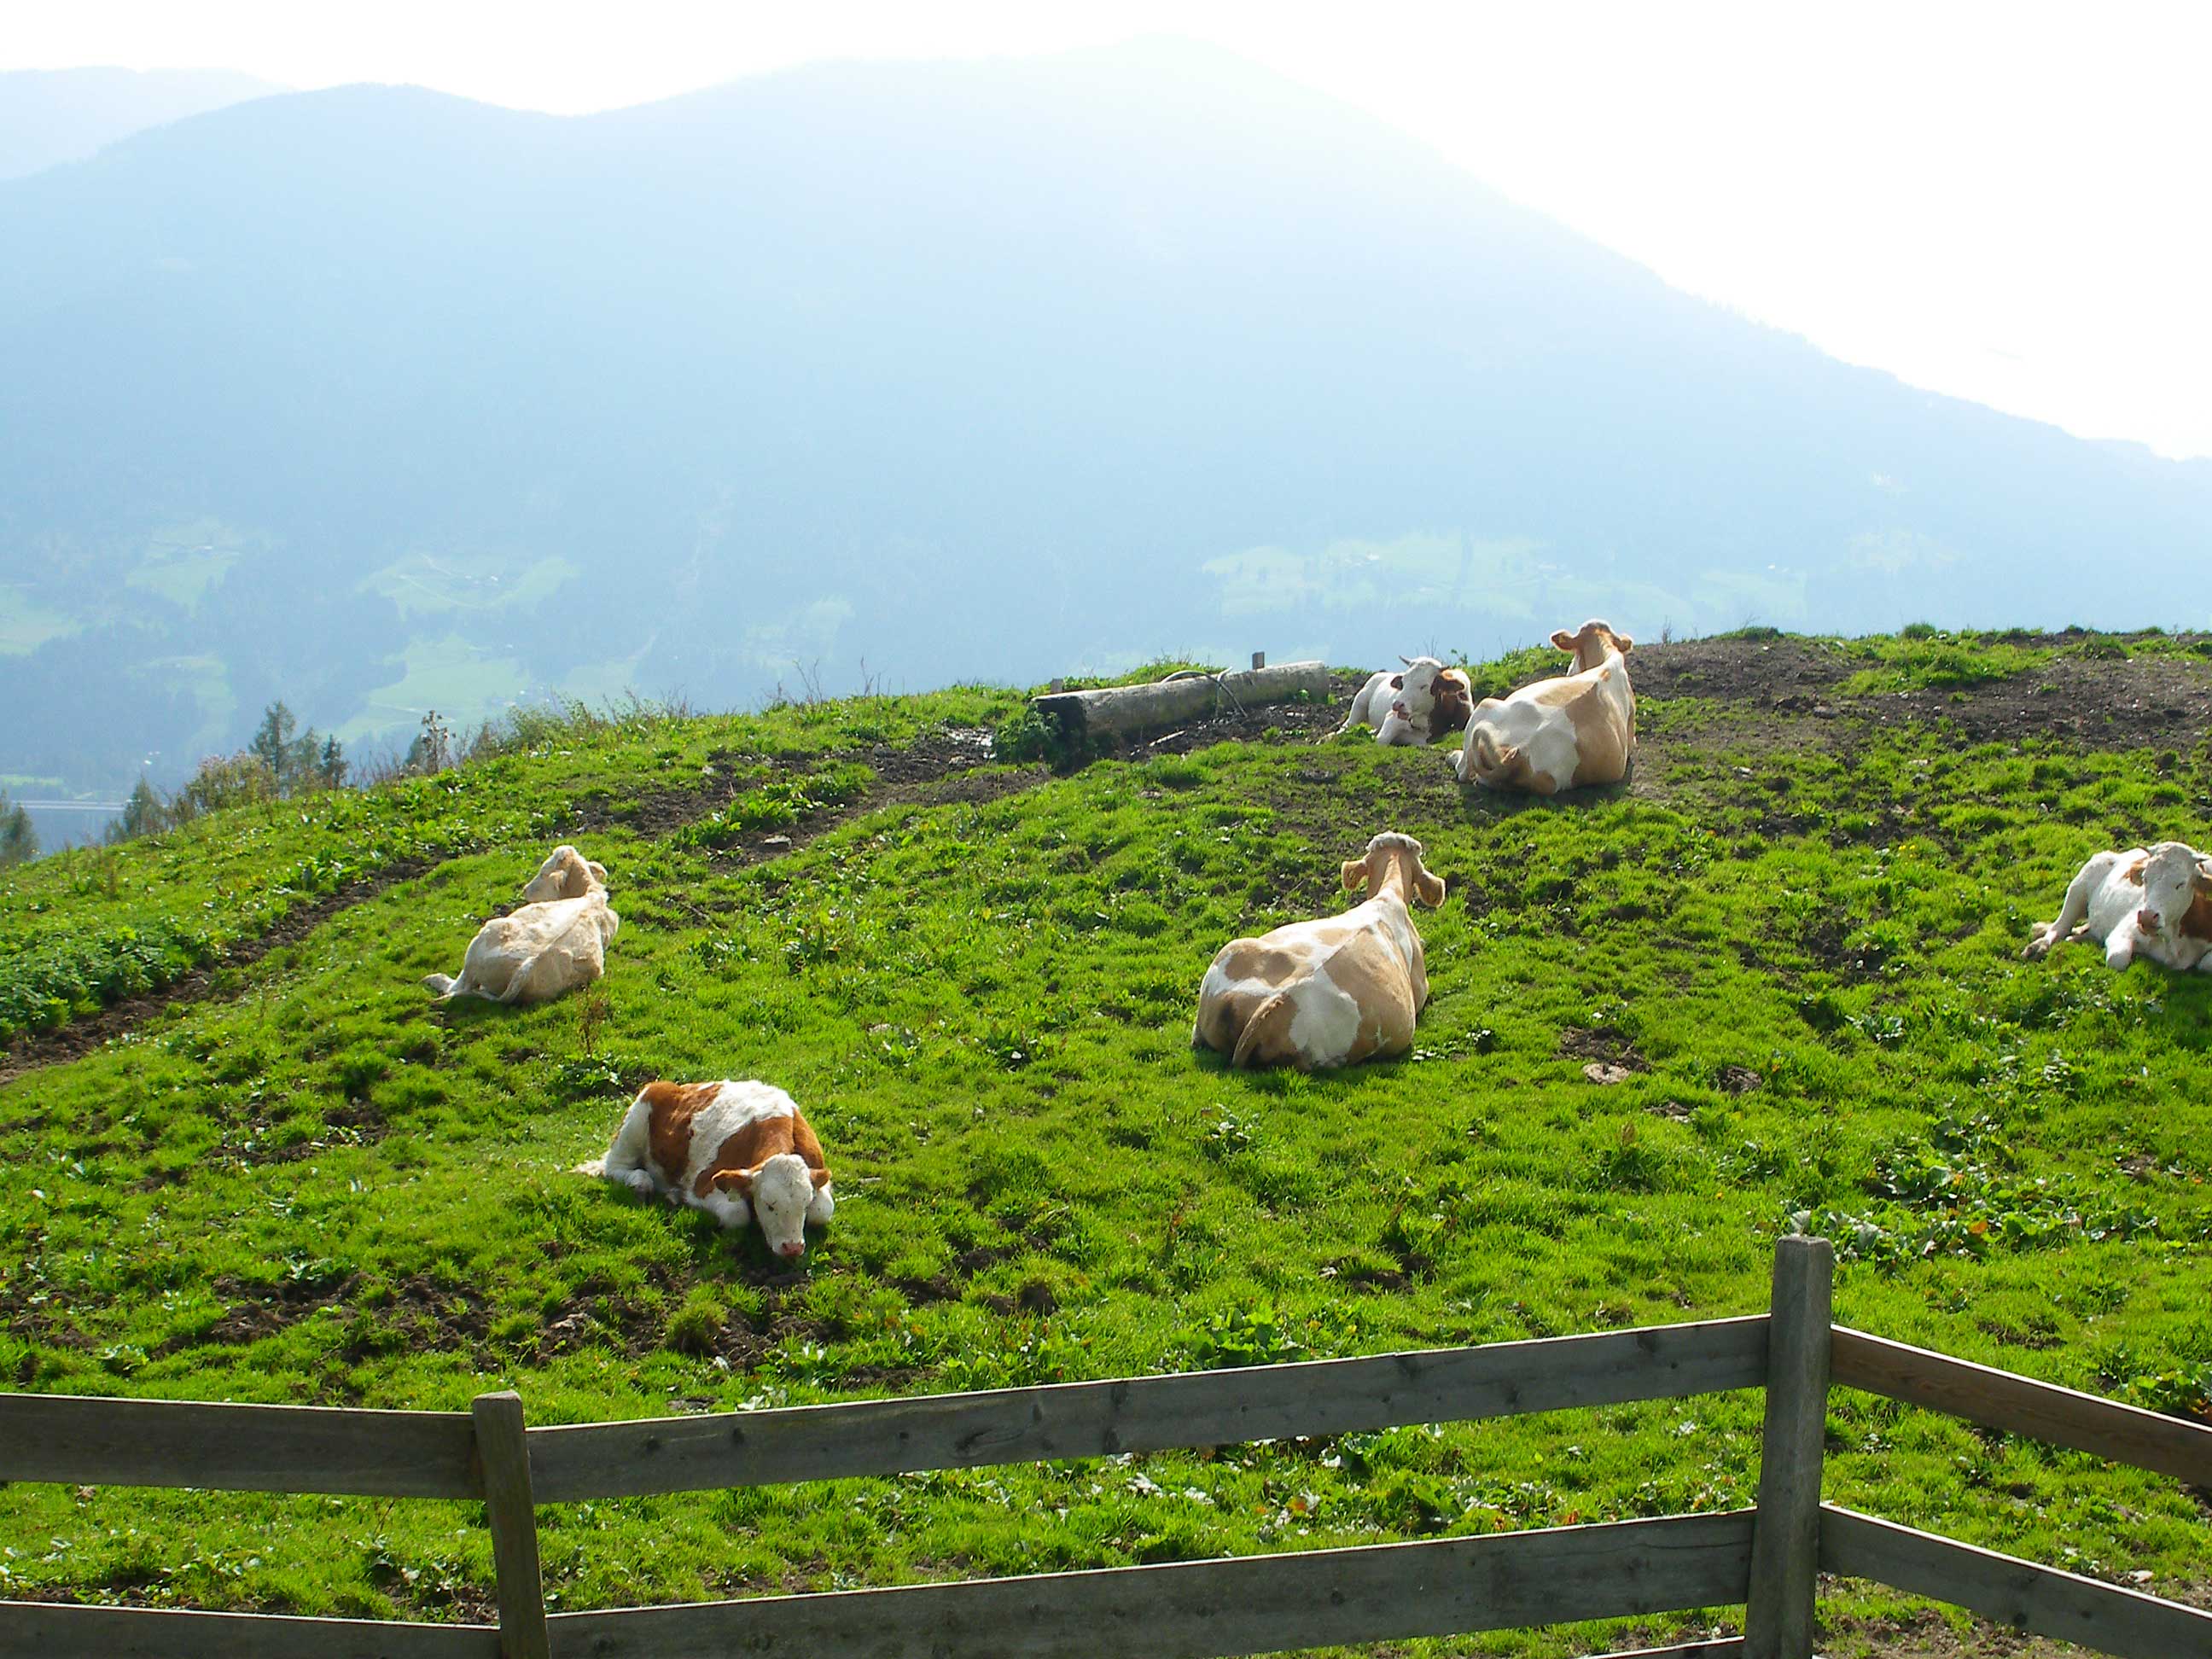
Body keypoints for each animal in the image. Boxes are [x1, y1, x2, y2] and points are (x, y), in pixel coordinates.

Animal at [579, 1079, 835, 1256]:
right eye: (769, 1205)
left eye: (805, 1204)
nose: (793, 1248)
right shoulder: (703, 1183)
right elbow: (736, 1214)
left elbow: (823, 1211)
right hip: (633, 1128)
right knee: (615, 1166)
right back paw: (642, 1184)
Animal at [1327, 655, 1469, 748]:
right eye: (1403, 681)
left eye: (1424, 686)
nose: (1396, 704)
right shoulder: (1392, 718)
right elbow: (1381, 740)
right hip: (1359, 705)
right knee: (1345, 727)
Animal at [2026, 845, 2212, 973]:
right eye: (2145, 878)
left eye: (2181, 884)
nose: (2146, 916)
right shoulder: (2124, 930)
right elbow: (2117, 959)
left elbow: (2205, 964)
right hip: (2079, 886)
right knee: (2060, 927)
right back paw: (2039, 947)